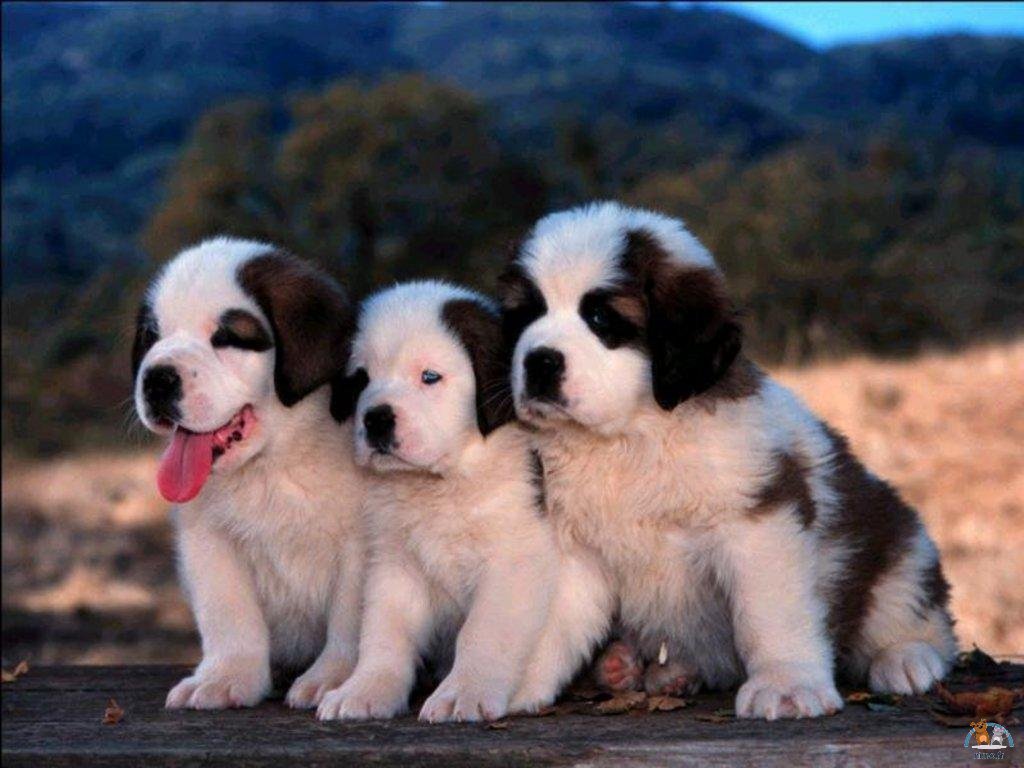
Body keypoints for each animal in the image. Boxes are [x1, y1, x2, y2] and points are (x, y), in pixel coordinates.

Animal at [132, 237, 366, 710]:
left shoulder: (362, 543)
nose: (157, 379)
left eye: (227, 338)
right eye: (152, 337)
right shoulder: (208, 540)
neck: (272, 462)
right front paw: (225, 676)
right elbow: (229, 613)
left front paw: (334, 677)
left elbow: (349, 619)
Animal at [316, 281, 611, 723]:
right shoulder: (394, 564)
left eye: (430, 377)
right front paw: (366, 689)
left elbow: (481, 633)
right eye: (361, 380)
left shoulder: (512, 560)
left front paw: (463, 692)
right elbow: (384, 632)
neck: (441, 483)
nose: (377, 419)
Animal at [498, 202, 957, 719]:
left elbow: (770, 612)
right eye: (525, 316)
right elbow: (548, 621)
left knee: (914, 616)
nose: (539, 362)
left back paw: (906, 657)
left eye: (600, 318)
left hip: (898, 550)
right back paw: (634, 667)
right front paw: (506, 681)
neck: (631, 436)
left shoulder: (757, 521)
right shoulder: (574, 546)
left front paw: (786, 682)